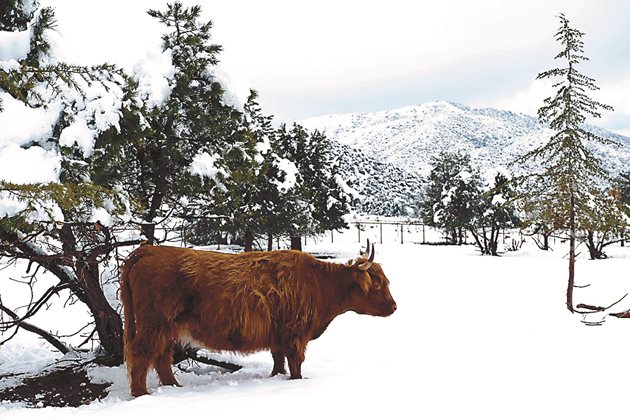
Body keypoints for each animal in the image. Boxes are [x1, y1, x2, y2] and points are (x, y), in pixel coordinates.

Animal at [119, 243, 396, 398]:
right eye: (378, 284)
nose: (394, 307)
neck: (320, 284)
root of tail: (149, 249)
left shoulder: (279, 335)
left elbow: (278, 360)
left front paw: (276, 377)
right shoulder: (296, 334)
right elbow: (296, 363)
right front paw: (297, 382)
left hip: (166, 327)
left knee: (161, 356)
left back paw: (174, 388)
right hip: (154, 323)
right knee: (142, 353)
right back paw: (141, 394)